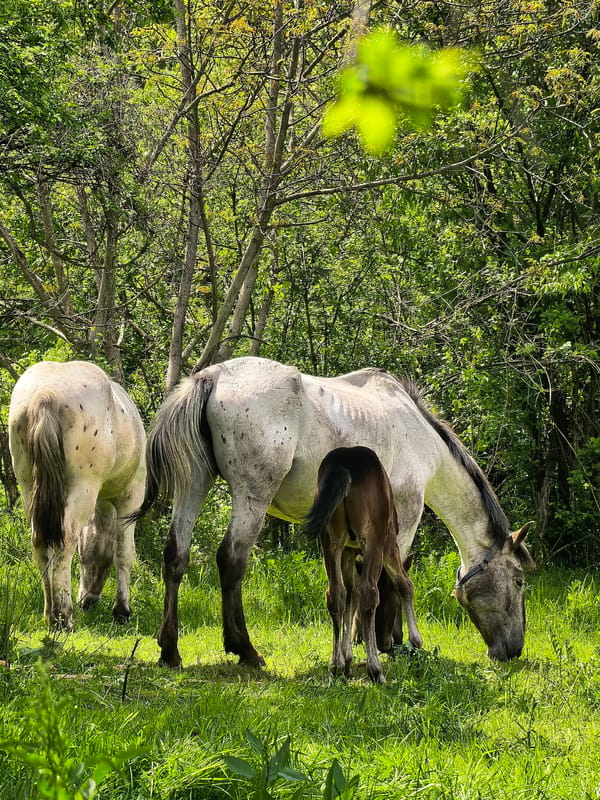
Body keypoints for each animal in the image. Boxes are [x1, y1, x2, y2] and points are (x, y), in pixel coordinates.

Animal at [8, 360, 146, 630]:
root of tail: (46, 394)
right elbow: (124, 552)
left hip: (29, 486)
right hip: (83, 487)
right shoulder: (130, 496)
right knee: (66, 539)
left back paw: (50, 612)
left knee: (41, 543)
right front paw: (122, 610)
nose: (88, 600)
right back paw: (63, 617)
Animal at [303, 446, 422, 683]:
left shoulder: (349, 552)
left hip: (330, 540)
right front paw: (416, 640)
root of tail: (343, 466)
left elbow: (350, 596)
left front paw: (346, 659)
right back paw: (375, 670)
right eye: (394, 602)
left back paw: (335, 665)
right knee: (369, 592)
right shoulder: (389, 543)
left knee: (335, 593)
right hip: (374, 540)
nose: (387, 643)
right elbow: (404, 584)